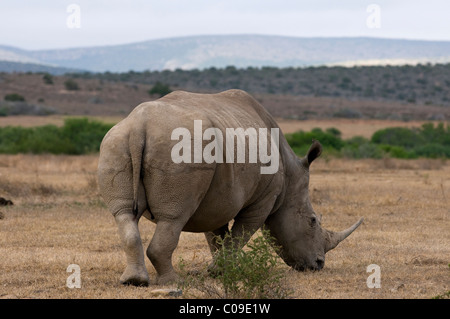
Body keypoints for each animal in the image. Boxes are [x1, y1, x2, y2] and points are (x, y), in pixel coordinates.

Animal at [97, 89, 362, 286]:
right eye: (313, 221)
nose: (318, 265)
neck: (290, 177)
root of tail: (140, 126)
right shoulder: (263, 200)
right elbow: (241, 234)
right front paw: (221, 272)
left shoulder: (216, 199)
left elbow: (218, 236)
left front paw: (218, 271)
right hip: (179, 147)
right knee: (173, 218)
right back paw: (174, 283)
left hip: (115, 142)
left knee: (123, 214)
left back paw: (134, 281)